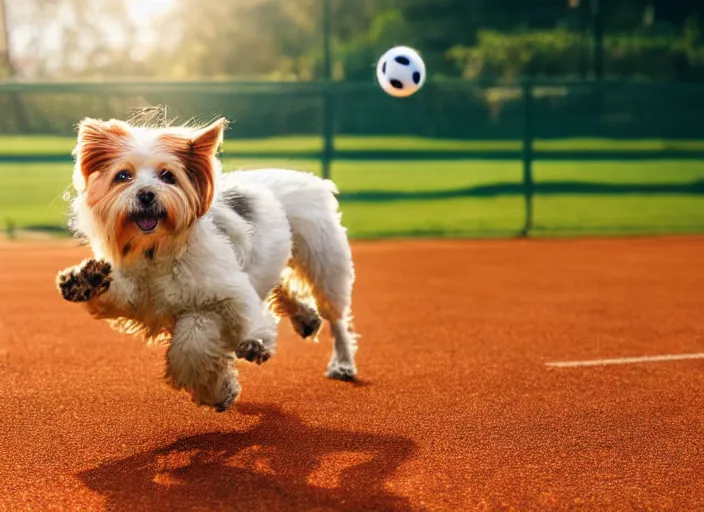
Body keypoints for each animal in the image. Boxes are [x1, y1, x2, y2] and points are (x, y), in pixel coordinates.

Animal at [56, 117, 358, 412]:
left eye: (168, 176)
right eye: (122, 176)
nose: (146, 195)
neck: (157, 248)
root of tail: (307, 177)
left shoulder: (220, 296)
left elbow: (203, 340)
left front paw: (250, 349)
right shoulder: (143, 297)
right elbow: (186, 343)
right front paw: (85, 280)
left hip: (324, 264)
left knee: (337, 320)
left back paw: (342, 363)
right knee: (280, 286)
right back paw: (306, 318)